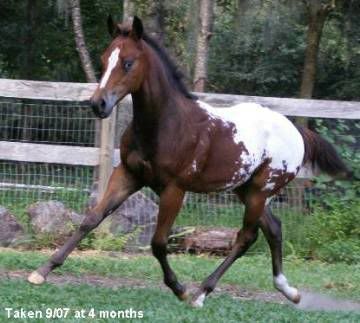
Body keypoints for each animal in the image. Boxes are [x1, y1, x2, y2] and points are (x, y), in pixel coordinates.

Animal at [28, 15, 352, 308]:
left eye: (128, 62)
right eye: (104, 59)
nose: (99, 104)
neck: (166, 124)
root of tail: (296, 131)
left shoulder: (174, 189)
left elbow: (158, 243)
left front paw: (180, 289)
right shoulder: (128, 174)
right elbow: (91, 219)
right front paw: (42, 271)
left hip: (260, 191)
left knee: (246, 237)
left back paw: (201, 294)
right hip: (245, 190)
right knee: (273, 228)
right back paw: (289, 291)